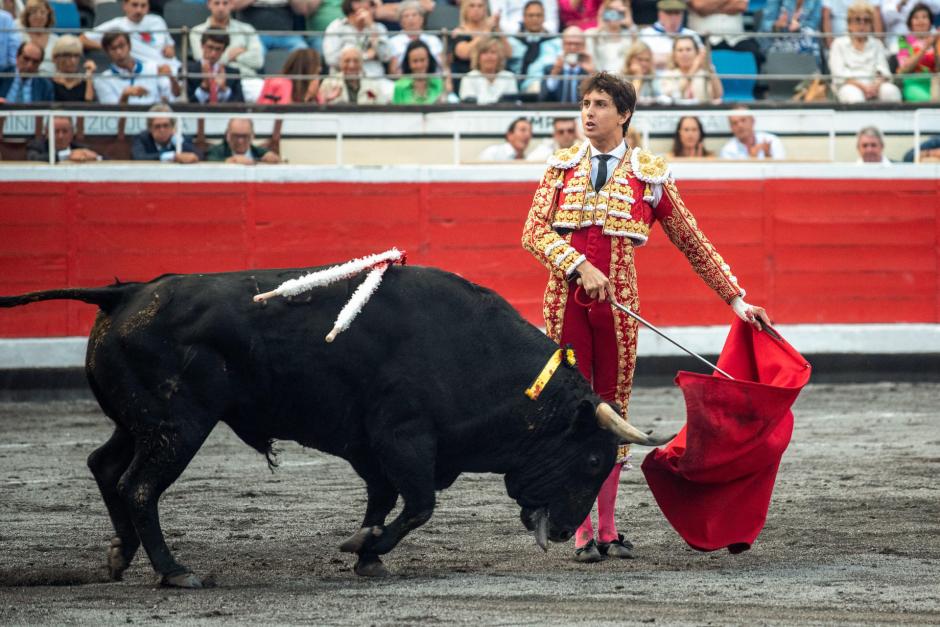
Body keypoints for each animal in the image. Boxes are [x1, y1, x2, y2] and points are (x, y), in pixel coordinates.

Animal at [1, 262, 676, 588]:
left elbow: (384, 500)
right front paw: (364, 547)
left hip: (140, 421)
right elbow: (419, 505)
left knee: (106, 467)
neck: (475, 353)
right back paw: (175, 572)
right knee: (139, 486)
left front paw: (367, 553)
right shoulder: (404, 438)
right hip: (178, 425)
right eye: (593, 459)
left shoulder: (372, 449)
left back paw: (121, 556)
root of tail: (126, 293)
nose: (563, 533)